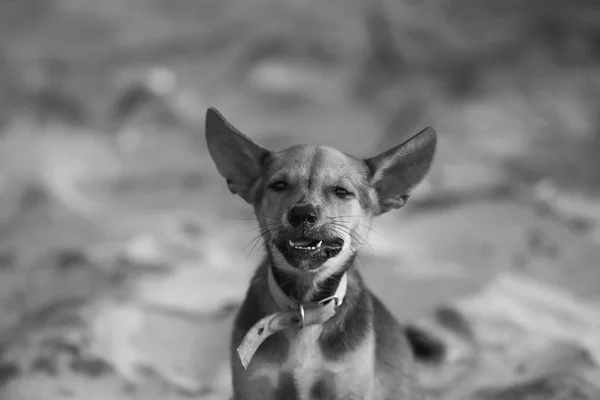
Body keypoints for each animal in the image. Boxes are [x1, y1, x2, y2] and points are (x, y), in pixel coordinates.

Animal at [206, 107, 436, 400]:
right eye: (278, 186)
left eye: (342, 191)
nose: (302, 214)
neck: (306, 309)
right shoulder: (254, 386)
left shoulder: (347, 387)